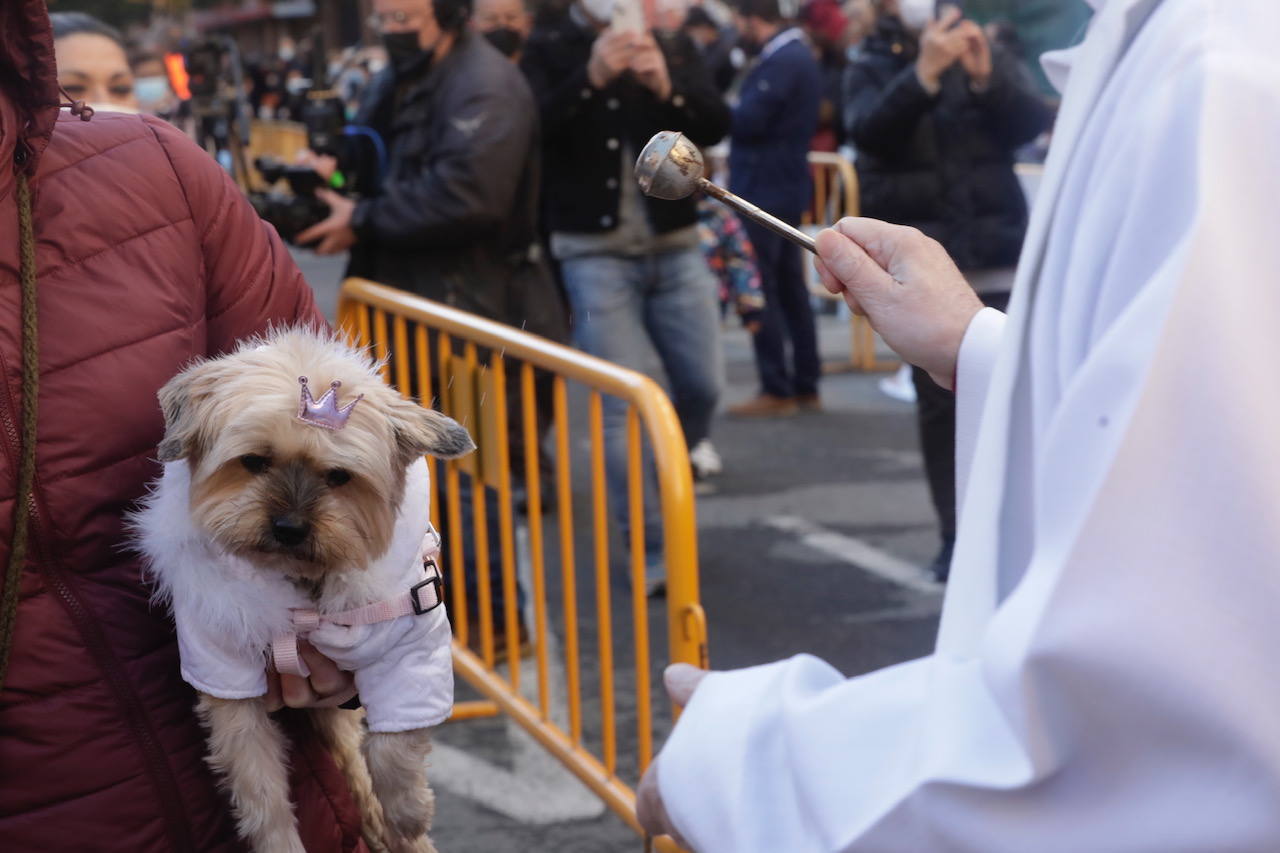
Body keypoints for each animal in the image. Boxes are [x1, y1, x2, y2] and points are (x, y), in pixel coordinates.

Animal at [132, 326, 473, 850]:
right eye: (254, 461)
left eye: (339, 477)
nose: (289, 528)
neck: (302, 587)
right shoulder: (224, 666)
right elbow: (257, 779)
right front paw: (279, 839)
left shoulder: (410, 647)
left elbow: (394, 746)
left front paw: (408, 814)